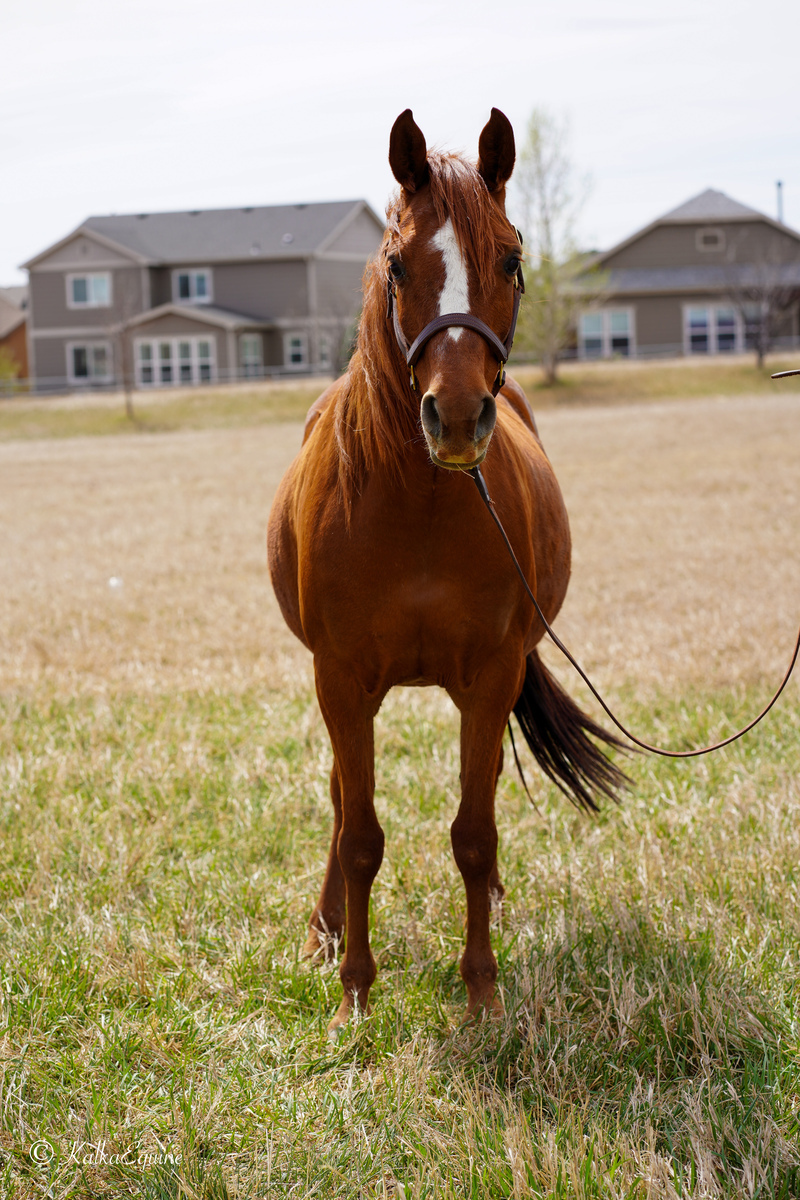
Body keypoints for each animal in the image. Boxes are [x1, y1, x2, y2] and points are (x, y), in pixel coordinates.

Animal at [268, 108, 624, 1033]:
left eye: (511, 258)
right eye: (398, 264)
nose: (458, 418)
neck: (418, 506)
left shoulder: (490, 675)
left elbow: (473, 830)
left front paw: (484, 991)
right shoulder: (341, 680)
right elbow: (359, 832)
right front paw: (354, 991)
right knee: (339, 801)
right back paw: (321, 932)